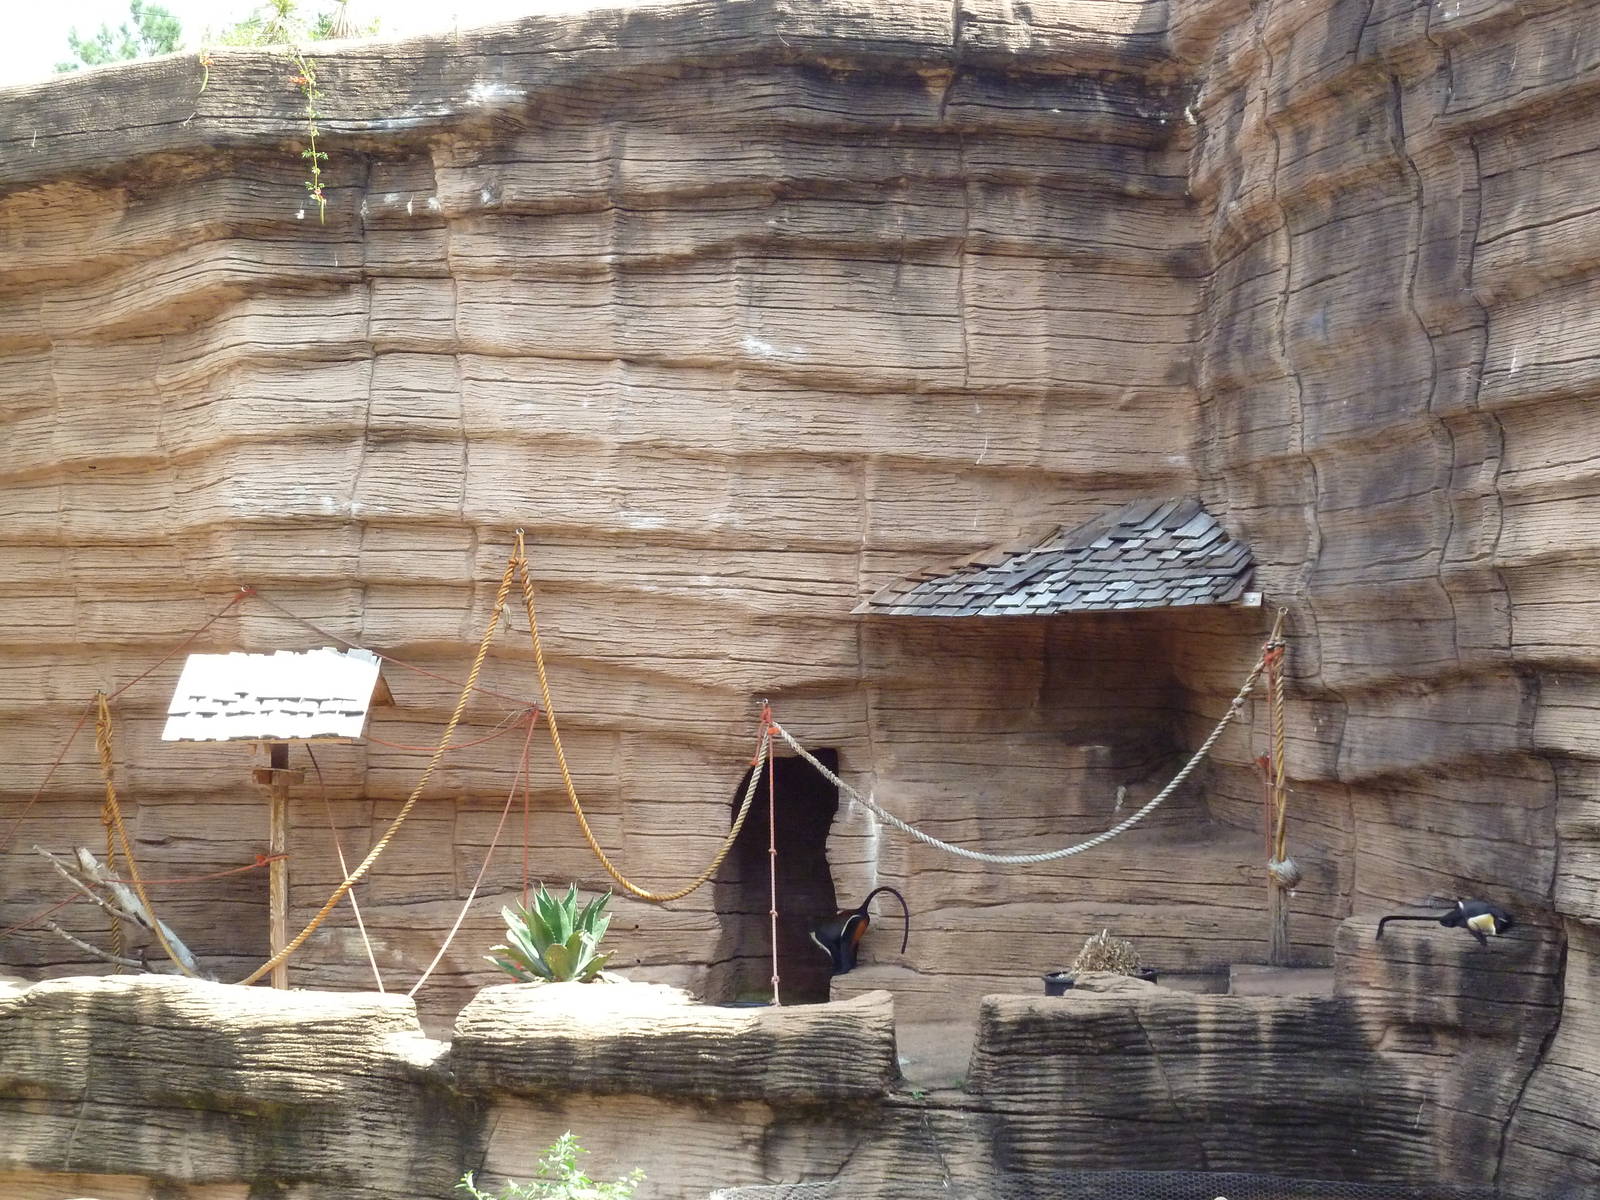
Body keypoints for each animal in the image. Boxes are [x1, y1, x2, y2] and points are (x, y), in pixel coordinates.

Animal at [1375, 899, 1516, 948]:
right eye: (1498, 924)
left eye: (1503, 926)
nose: (1499, 930)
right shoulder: (1478, 918)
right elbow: (1470, 923)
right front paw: (1482, 939)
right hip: (1456, 913)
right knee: (1457, 916)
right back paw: (1445, 922)